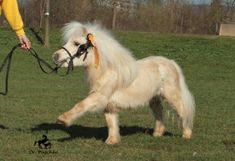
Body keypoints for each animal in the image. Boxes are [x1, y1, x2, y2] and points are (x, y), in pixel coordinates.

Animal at [52, 21, 195, 145]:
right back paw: (157, 133)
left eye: (76, 43)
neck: (107, 71)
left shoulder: (99, 97)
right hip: (154, 98)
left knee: (183, 112)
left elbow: (82, 104)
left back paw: (186, 135)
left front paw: (63, 119)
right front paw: (112, 141)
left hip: (172, 96)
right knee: (159, 112)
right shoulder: (109, 104)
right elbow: (111, 122)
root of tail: (171, 62)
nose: (55, 56)